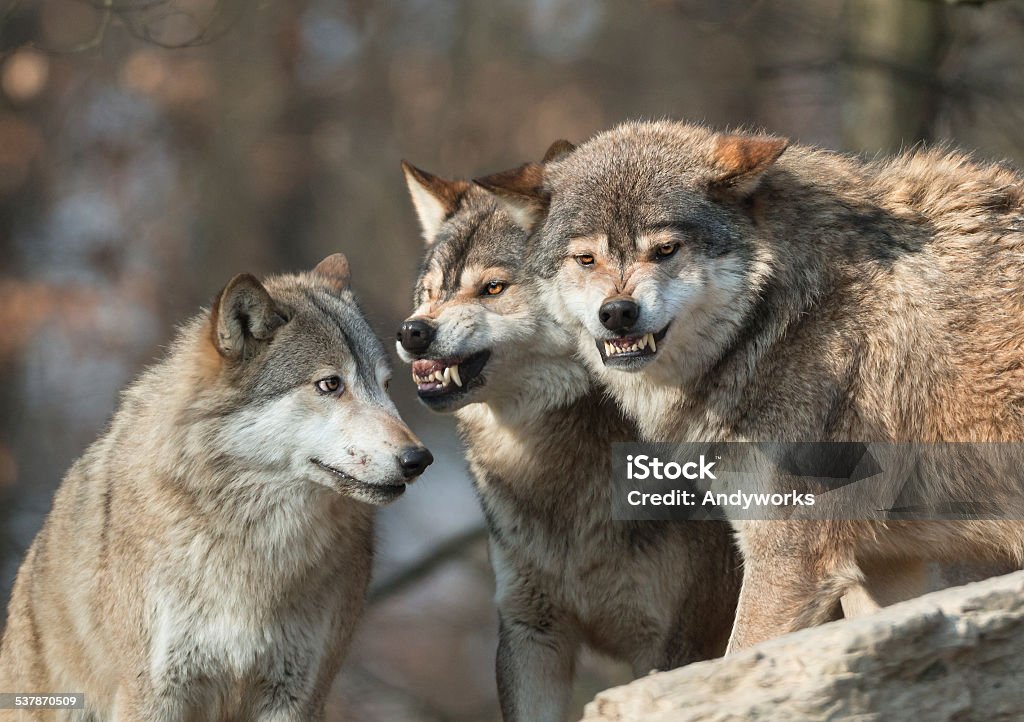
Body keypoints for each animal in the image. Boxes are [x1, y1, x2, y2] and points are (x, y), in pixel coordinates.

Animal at [0, 255, 432, 720]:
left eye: (385, 386)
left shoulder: (296, 696)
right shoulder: (154, 695)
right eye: (330, 384)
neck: (255, 548)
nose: (419, 460)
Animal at [477, 122, 1024, 655]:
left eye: (666, 249)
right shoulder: (882, 563)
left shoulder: (790, 556)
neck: (783, 318)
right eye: (586, 259)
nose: (617, 313)